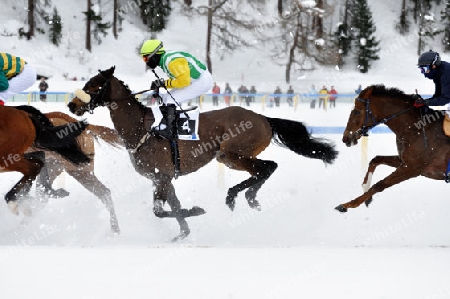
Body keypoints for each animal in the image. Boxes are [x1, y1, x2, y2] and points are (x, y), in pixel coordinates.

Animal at [68, 67, 338, 243]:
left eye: (94, 85)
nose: (72, 105)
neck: (141, 128)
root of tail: (263, 118)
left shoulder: (162, 176)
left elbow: (160, 211)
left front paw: (196, 211)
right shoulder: (162, 179)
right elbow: (174, 207)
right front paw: (183, 233)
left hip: (230, 155)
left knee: (268, 166)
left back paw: (238, 196)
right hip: (231, 156)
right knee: (266, 168)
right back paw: (250, 197)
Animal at [338, 84, 450, 213]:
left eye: (356, 111)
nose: (345, 138)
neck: (415, 128)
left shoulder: (412, 168)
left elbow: (380, 184)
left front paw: (348, 204)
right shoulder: (404, 162)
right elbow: (376, 159)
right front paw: (365, 188)